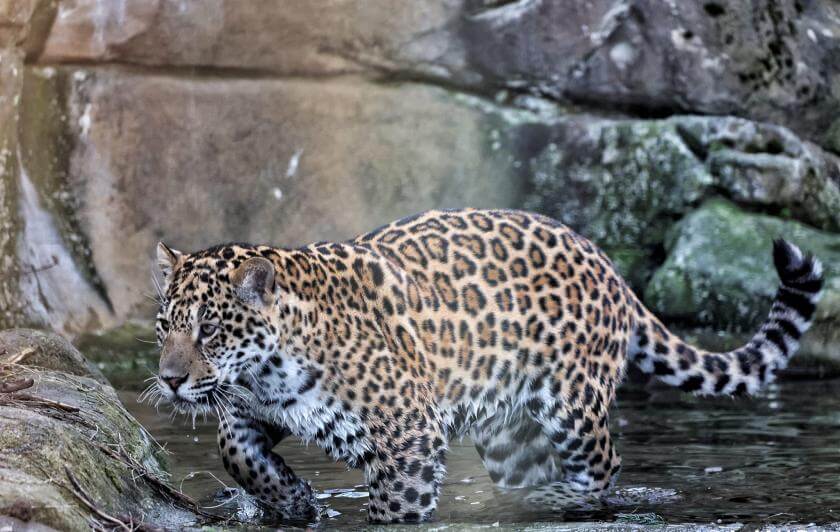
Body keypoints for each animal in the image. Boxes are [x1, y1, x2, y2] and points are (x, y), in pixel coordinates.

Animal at [150, 208, 823, 524]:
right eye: (164, 328)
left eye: (208, 330)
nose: (170, 380)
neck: (264, 372)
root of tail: (607, 263)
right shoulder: (252, 411)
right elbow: (234, 452)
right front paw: (292, 501)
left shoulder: (408, 436)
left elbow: (395, 510)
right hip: (508, 432)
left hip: (571, 404)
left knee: (603, 466)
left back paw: (560, 500)